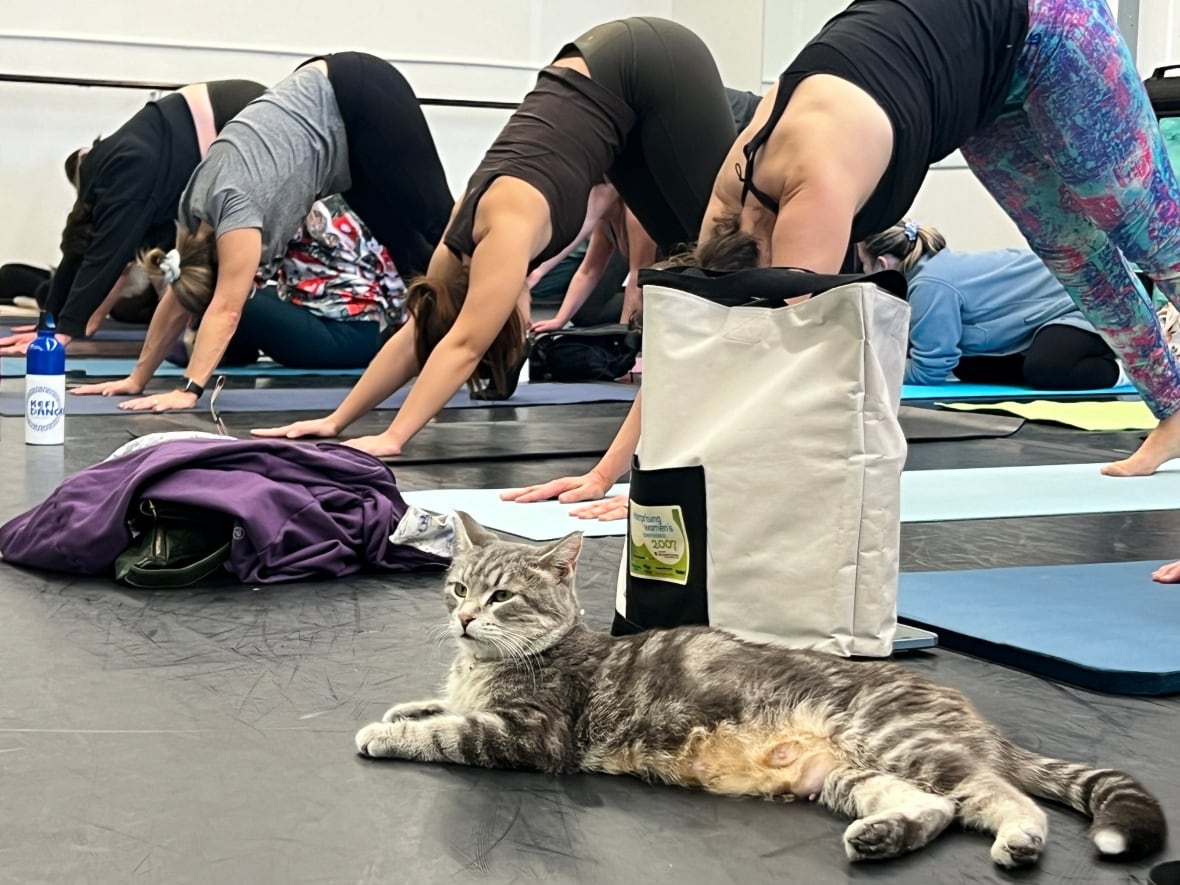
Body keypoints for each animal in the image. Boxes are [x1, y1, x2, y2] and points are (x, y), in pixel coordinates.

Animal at [353, 512, 1165, 868]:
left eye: (503, 598)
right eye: (458, 587)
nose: (462, 617)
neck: (489, 666)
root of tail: (976, 718)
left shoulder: (531, 732)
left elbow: (448, 731)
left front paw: (386, 731)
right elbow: (440, 705)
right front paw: (408, 702)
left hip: (904, 744)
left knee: (1004, 797)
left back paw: (1020, 838)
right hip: (847, 774)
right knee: (933, 809)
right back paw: (882, 837)